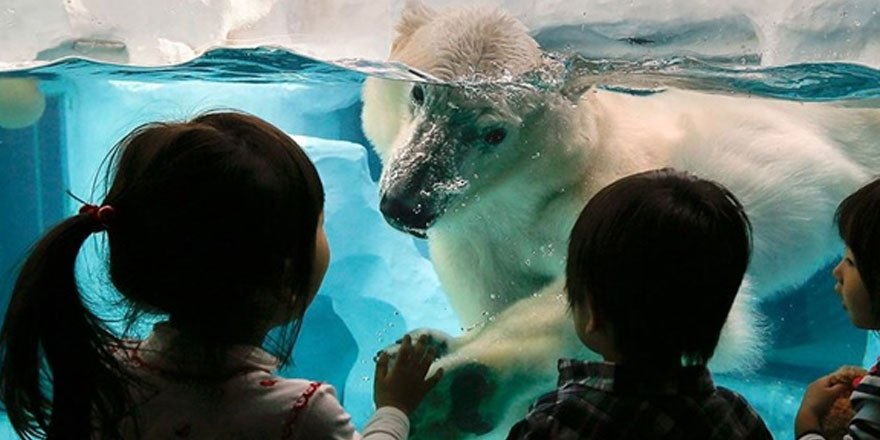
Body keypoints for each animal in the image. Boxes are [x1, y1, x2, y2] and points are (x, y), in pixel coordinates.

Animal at [360, 1, 880, 438]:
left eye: (494, 133)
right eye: (419, 91)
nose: (406, 204)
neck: (524, 198)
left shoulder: (604, 196)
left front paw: (453, 391)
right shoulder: (478, 244)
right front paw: (437, 342)